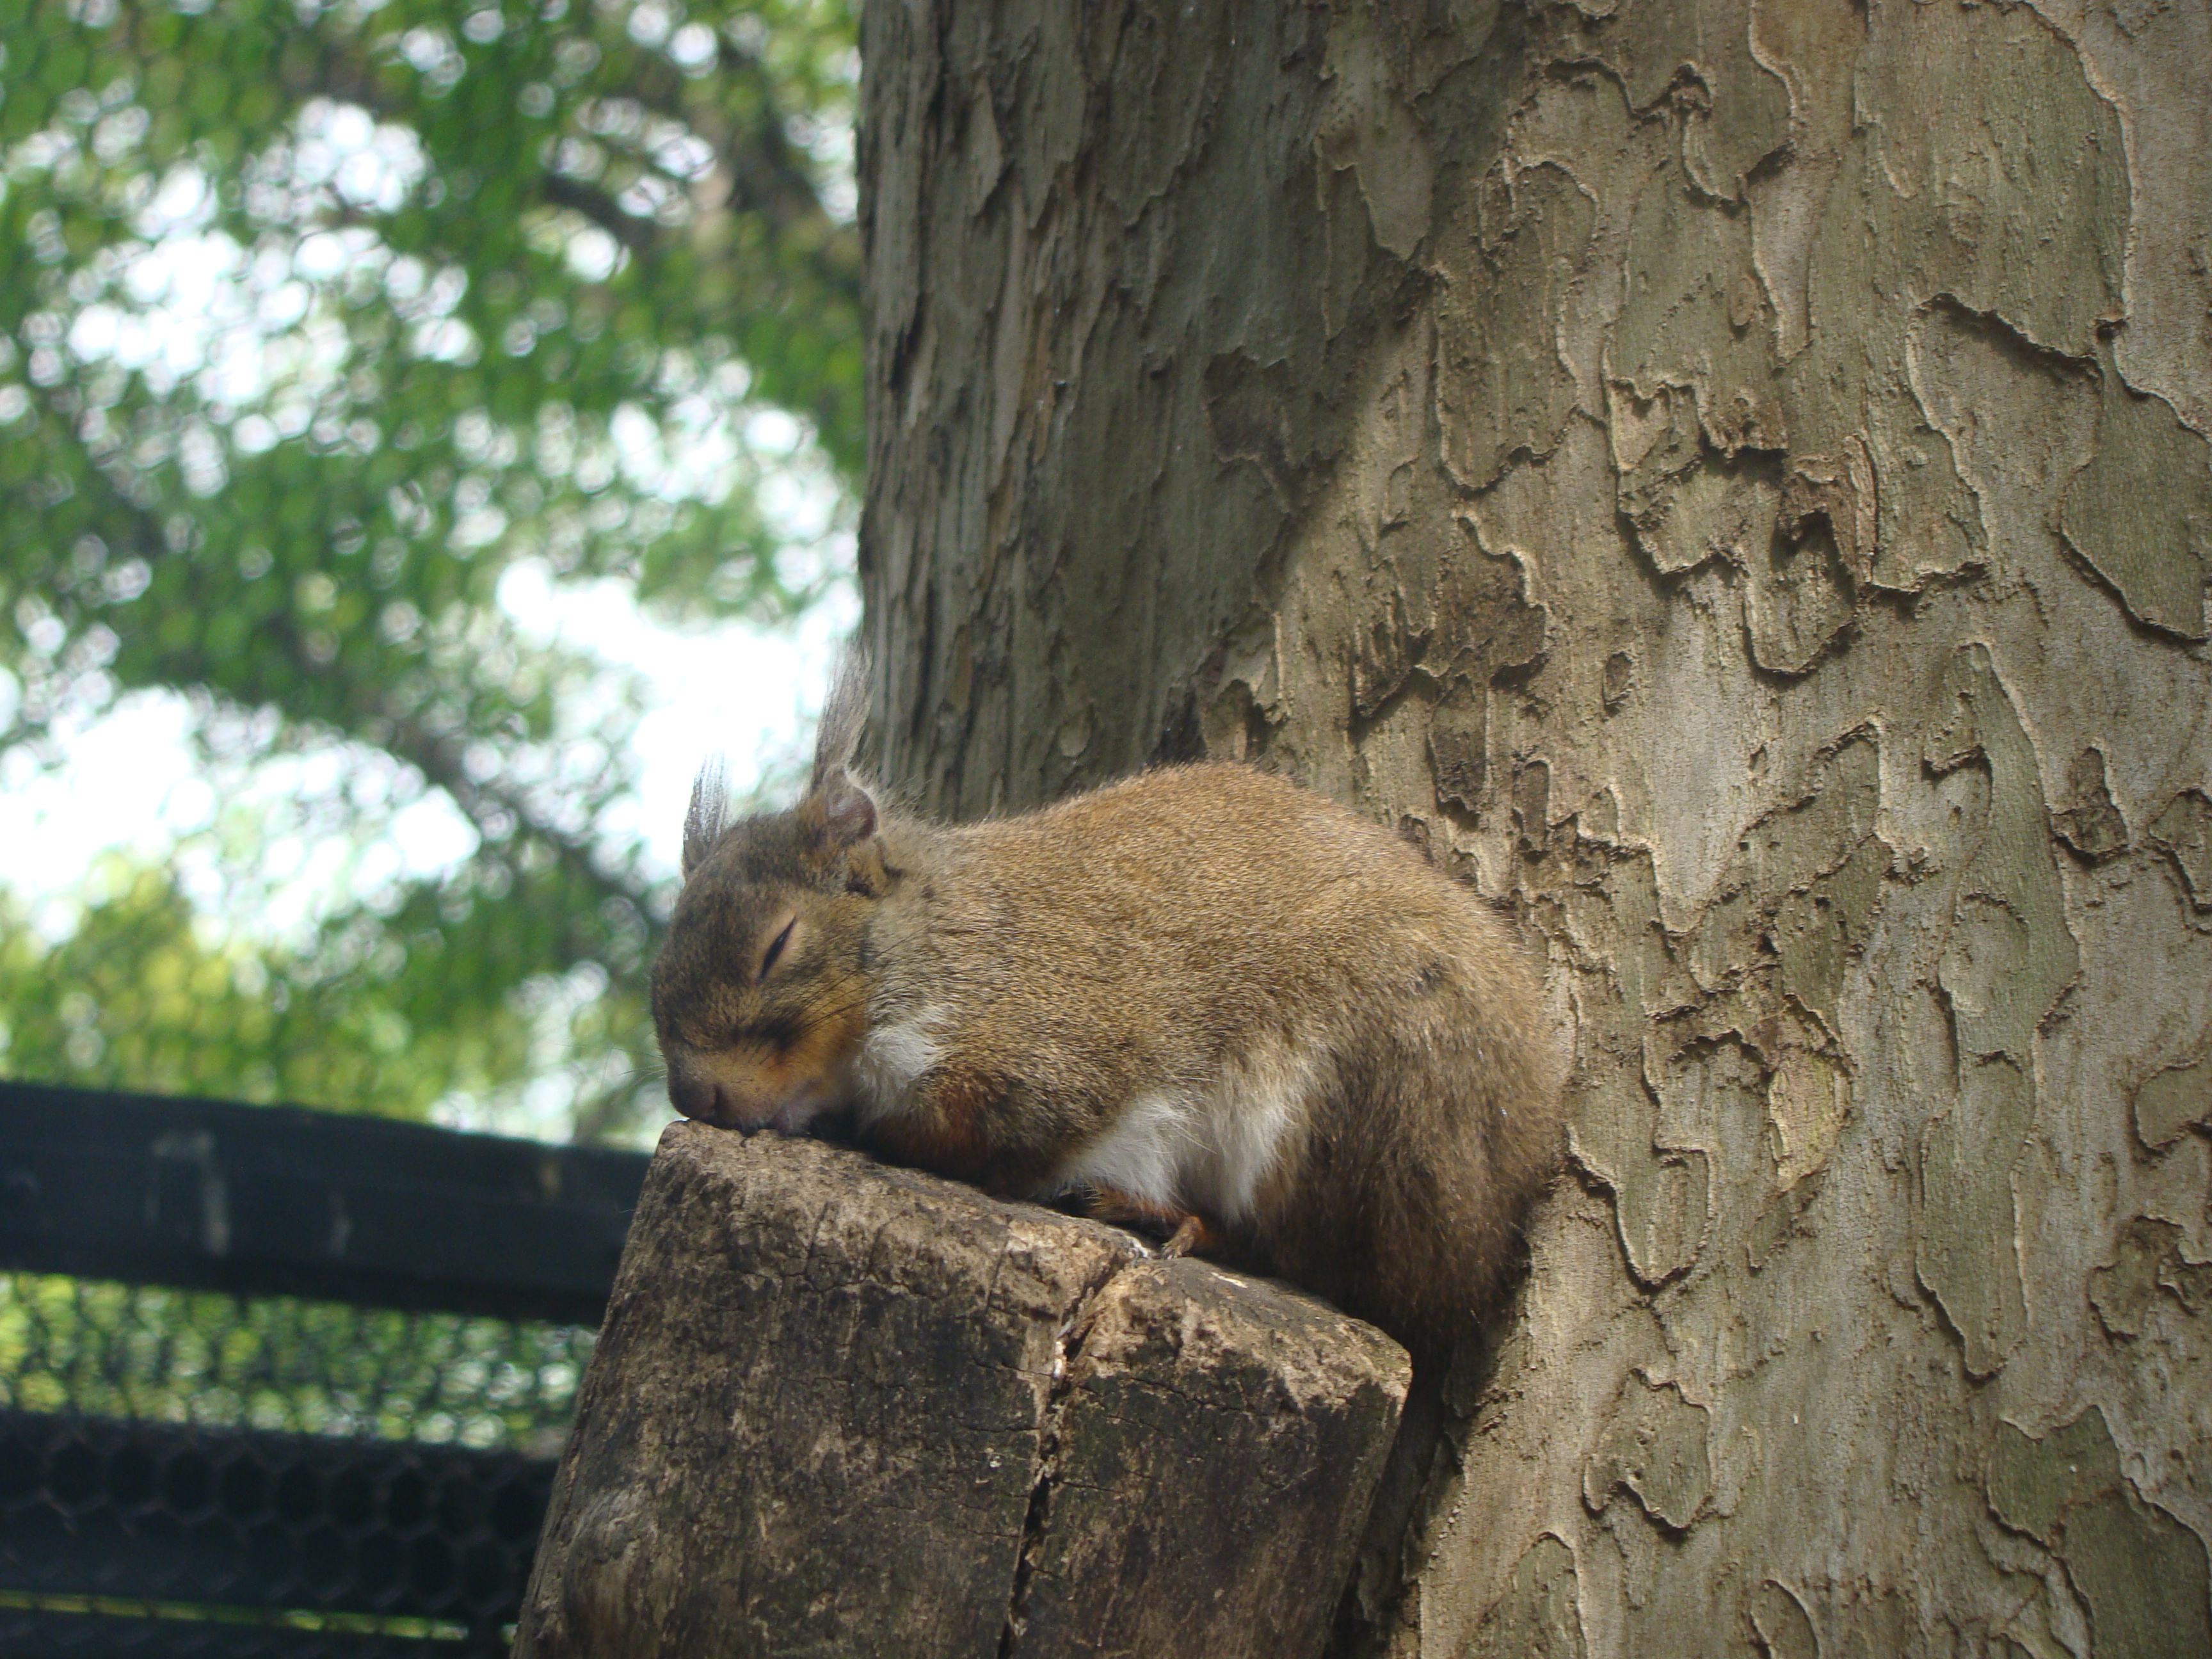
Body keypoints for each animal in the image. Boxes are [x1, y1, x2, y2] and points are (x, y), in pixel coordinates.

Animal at [646, 650, 1566, 1362]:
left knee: (1319, 1261)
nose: (697, 1095)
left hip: (1352, 1107)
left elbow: (982, 1133)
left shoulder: (1051, 1051)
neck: (937, 946)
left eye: (776, 946)